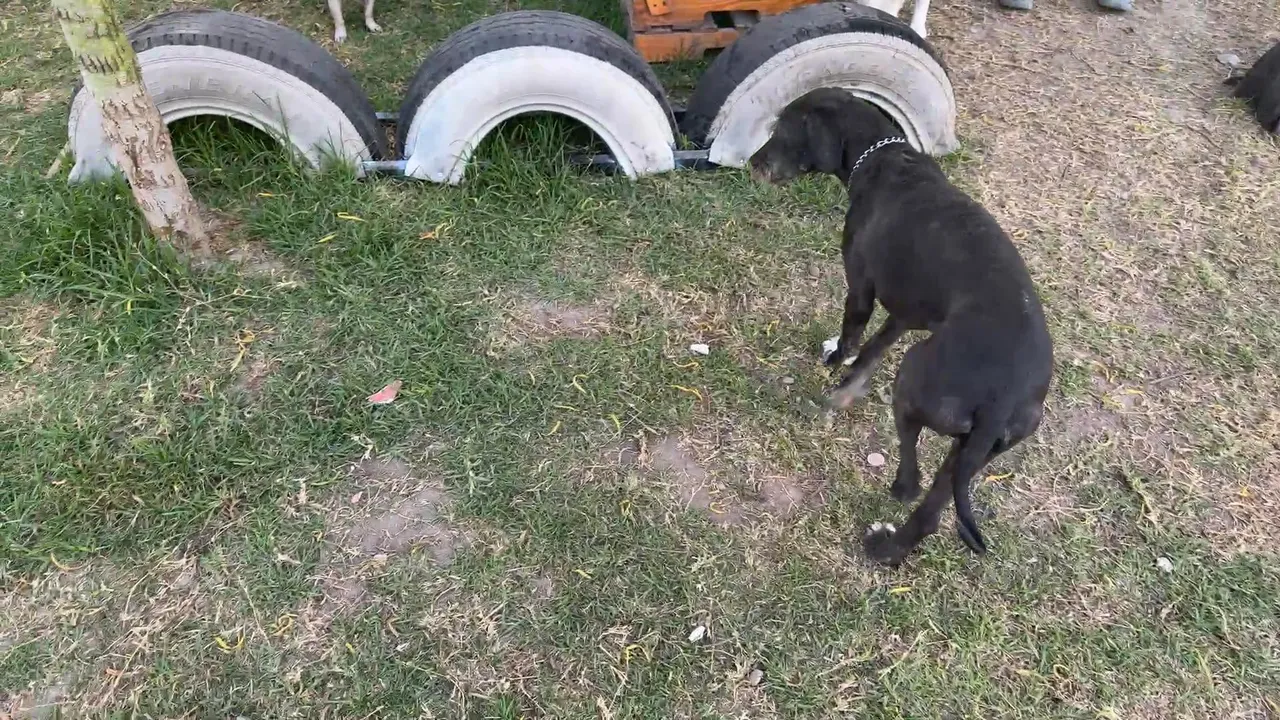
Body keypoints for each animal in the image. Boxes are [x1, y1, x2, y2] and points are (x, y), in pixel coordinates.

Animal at [749, 89, 1053, 566]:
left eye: (782, 128)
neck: (882, 156)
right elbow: (872, 350)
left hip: (913, 382)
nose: (753, 163)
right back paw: (890, 547)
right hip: (970, 453)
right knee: (929, 512)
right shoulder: (906, 314)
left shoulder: (860, 289)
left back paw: (890, 507)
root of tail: (1002, 398)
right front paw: (848, 381)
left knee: (911, 482)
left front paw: (834, 367)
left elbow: (853, 337)